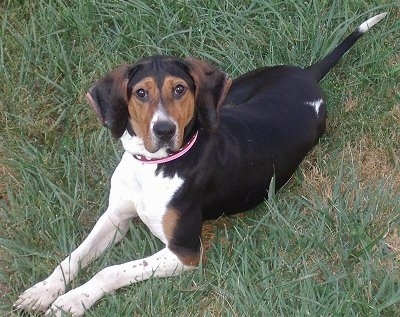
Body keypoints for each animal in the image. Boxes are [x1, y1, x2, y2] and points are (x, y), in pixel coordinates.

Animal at [14, 11, 386, 314]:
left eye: (180, 89)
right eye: (140, 93)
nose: (164, 130)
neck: (152, 166)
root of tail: (307, 76)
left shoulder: (184, 251)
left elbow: (111, 270)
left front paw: (73, 300)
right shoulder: (116, 218)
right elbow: (74, 256)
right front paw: (42, 291)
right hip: (231, 95)